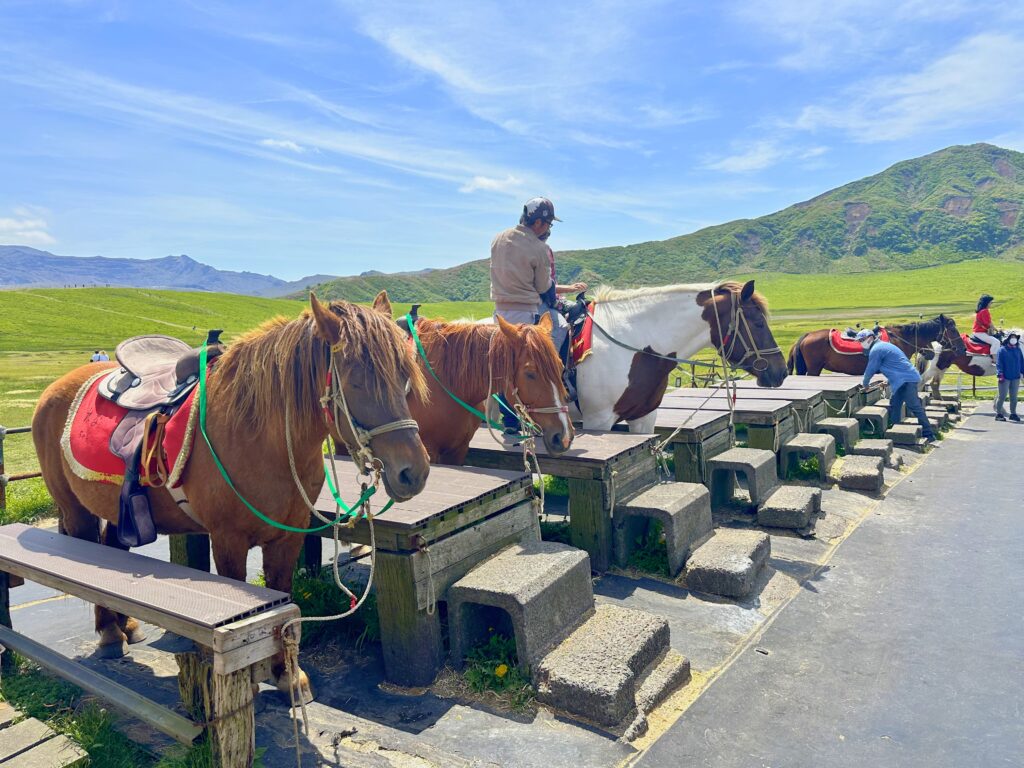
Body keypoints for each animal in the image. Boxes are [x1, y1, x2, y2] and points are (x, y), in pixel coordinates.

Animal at [33, 294, 428, 704]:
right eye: (356, 382)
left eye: (404, 376)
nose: (412, 472)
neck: (261, 437)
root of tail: (53, 391)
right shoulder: (228, 540)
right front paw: (252, 680)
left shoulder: (288, 536)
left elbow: (283, 602)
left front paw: (287, 674)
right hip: (75, 510)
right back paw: (110, 635)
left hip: (113, 509)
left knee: (110, 550)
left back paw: (125, 625)